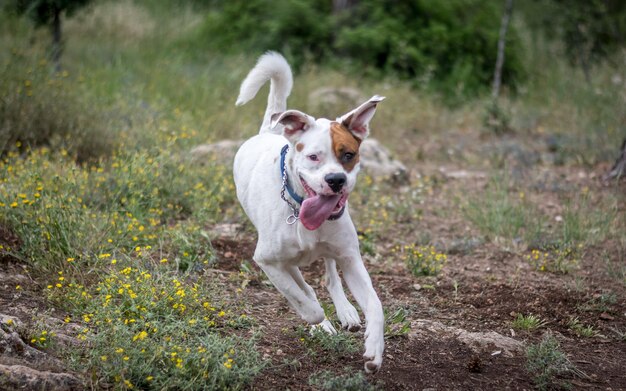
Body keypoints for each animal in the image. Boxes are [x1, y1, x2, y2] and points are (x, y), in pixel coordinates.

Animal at [232, 52, 382, 374]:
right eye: (313, 157)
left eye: (348, 155)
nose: (335, 180)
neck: (298, 207)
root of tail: (269, 131)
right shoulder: (268, 261)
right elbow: (304, 301)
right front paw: (319, 322)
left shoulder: (351, 258)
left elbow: (375, 304)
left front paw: (374, 350)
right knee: (306, 285)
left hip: (334, 249)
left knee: (330, 276)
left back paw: (347, 311)